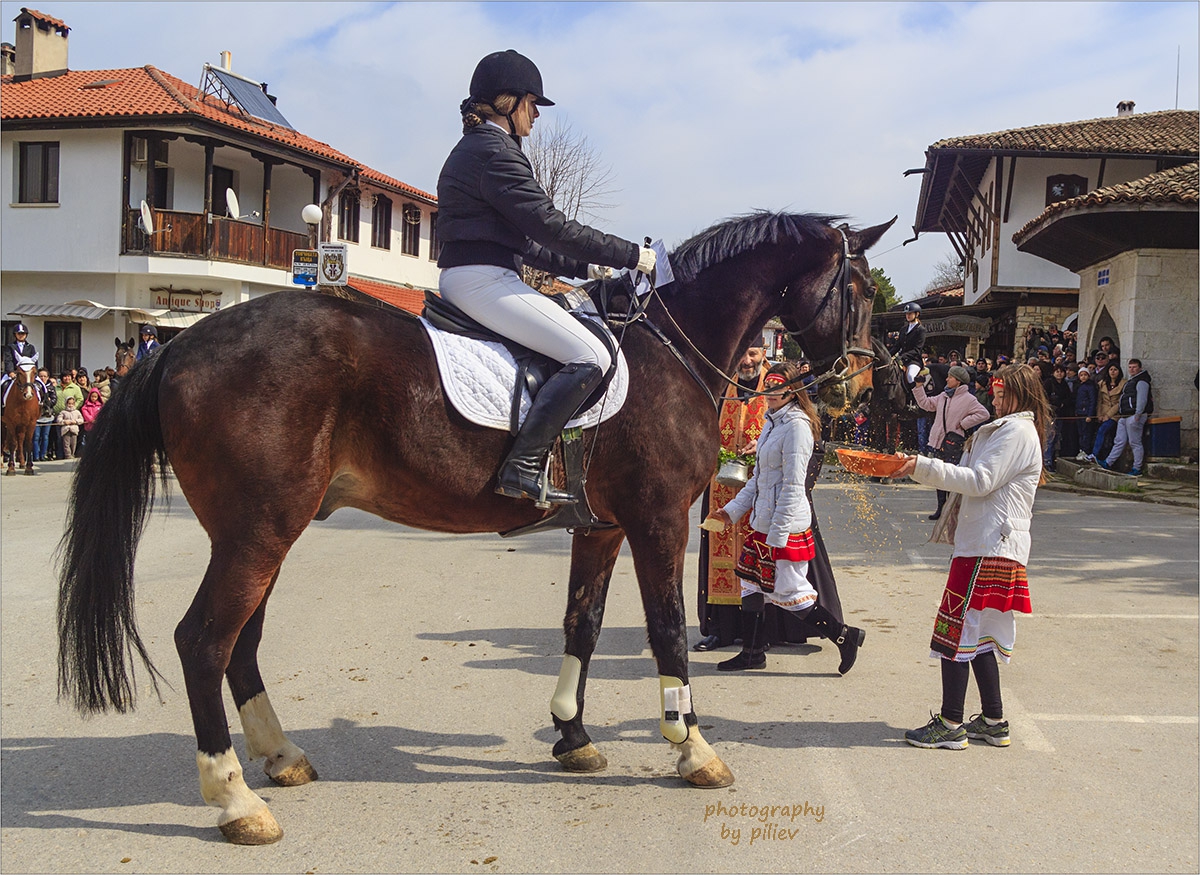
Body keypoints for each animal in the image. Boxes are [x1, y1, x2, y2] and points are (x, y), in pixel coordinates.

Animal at [60, 207, 897, 844]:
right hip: (257, 531)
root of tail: (179, 344)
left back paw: (282, 757)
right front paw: (693, 750)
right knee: (204, 641)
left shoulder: (600, 527)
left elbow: (583, 623)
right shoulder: (658, 521)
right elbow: (666, 630)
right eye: (857, 287)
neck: (668, 350)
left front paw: (573, 737)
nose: (857, 382)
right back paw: (237, 799)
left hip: (258, 533)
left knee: (241, 641)